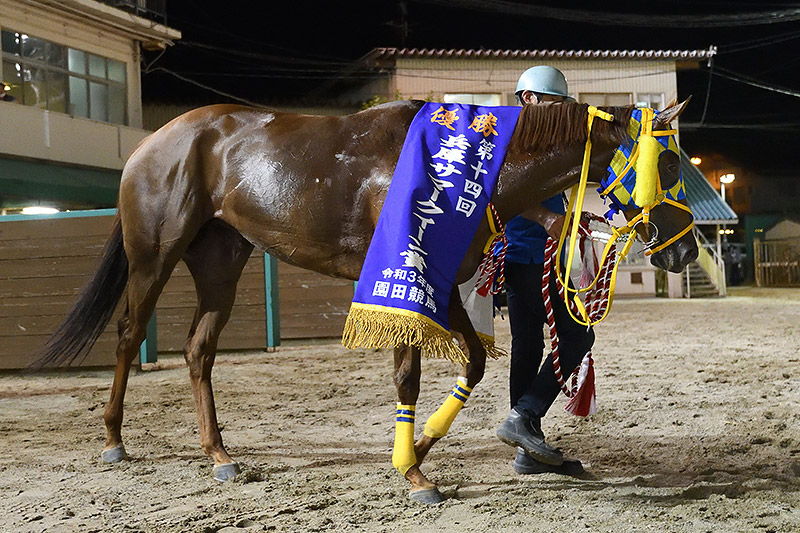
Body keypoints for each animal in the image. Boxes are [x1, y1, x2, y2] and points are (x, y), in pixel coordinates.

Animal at [32, 100, 692, 502]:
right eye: (668, 165)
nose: (684, 250)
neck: (456, 172)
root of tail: (153, 143)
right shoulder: (405, 280)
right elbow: (408, 374)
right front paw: (415, 470)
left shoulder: (440, 284)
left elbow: (476, 363)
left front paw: (417, 448)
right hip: (154, 254)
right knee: (128, 333)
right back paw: (114, 441)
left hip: (221, 260)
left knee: (199, 351)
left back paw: (219, 452)